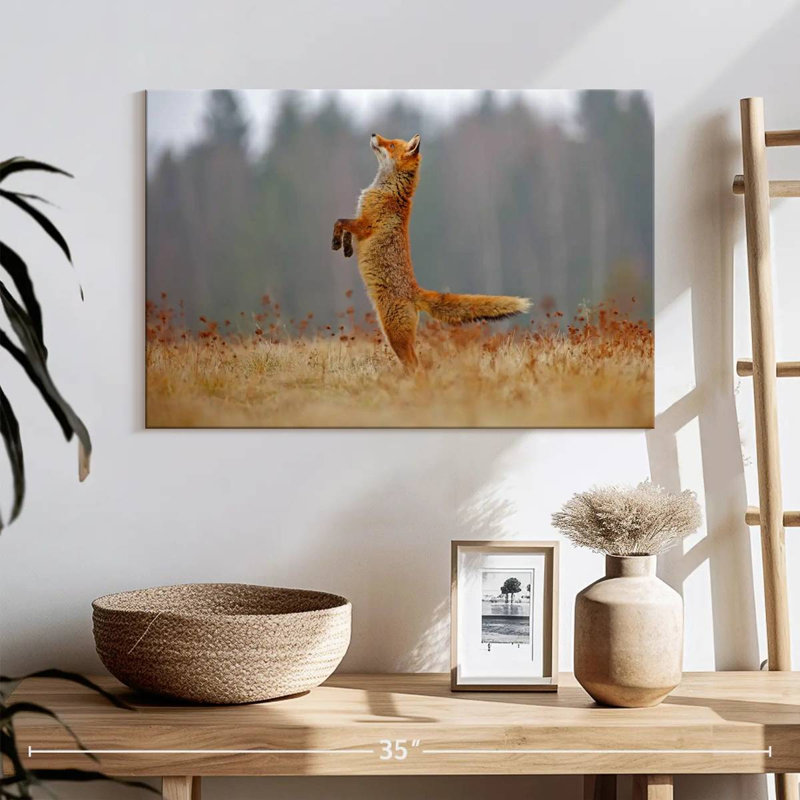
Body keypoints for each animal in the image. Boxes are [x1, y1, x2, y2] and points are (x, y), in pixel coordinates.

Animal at [331, 133, 530, 368]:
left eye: (391, 145)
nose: (373, 134)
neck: (388, 190)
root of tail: (415, 291)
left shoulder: (365, 225)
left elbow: (339, 221)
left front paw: (336, 242)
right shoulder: (359, 222)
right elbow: (346, 229)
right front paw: (345, 247)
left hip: (394, 335)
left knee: (416, 366)